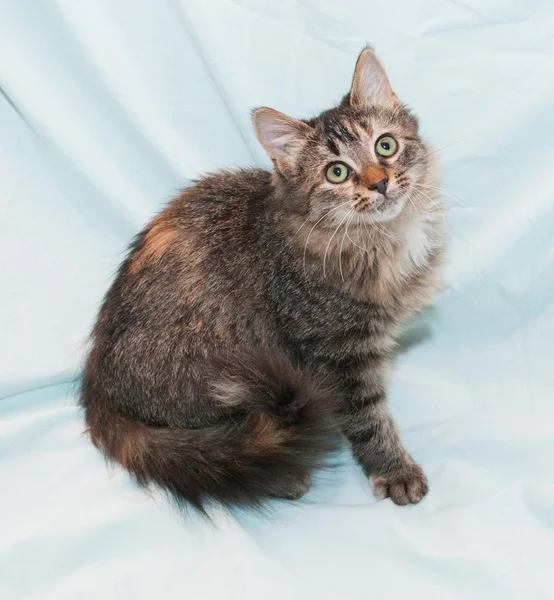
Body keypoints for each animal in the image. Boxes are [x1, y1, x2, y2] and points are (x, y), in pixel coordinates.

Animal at [81, 48, 444, 510]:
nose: (379, 183)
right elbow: (369, 419)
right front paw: (394, 470)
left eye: (386, 145)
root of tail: (97, 376)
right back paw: (283, 476)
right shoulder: (336, 353)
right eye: (337, 172)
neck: (377, 240)